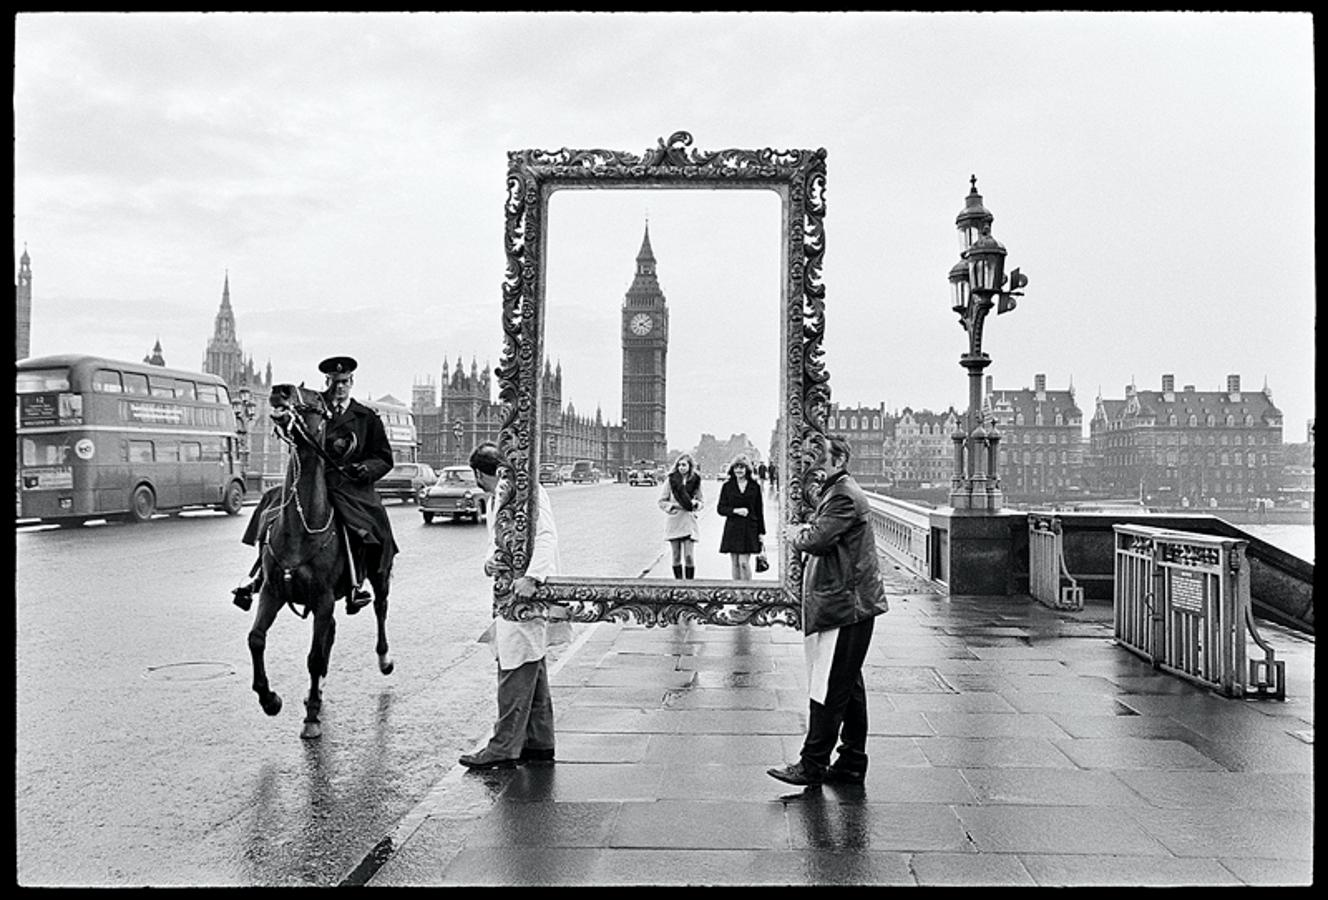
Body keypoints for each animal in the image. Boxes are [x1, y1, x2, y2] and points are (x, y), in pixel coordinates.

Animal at [248, 379, 393, 738]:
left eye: (315, 399)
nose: (280, 389)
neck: (299, 528)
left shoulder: (324, 597)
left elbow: (313, 657)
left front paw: (312, 717)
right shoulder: (273, 591)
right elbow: (256, 639)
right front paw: (270, 699)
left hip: (379, 572)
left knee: (381, 608)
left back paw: (384, 659)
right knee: (332, 631)